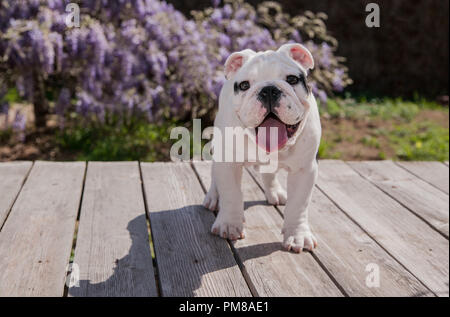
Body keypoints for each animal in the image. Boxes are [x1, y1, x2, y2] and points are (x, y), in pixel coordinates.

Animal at [204, 43, 320, 253]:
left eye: (292, 79)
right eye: (244, 85)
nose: (269, 90)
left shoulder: (304, 170)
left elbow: (298, 204)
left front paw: (297, 235)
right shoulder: (228, 164)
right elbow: (231, 194)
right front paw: (229, 225)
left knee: (269, 174)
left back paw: (275, 192)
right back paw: (213, 197)